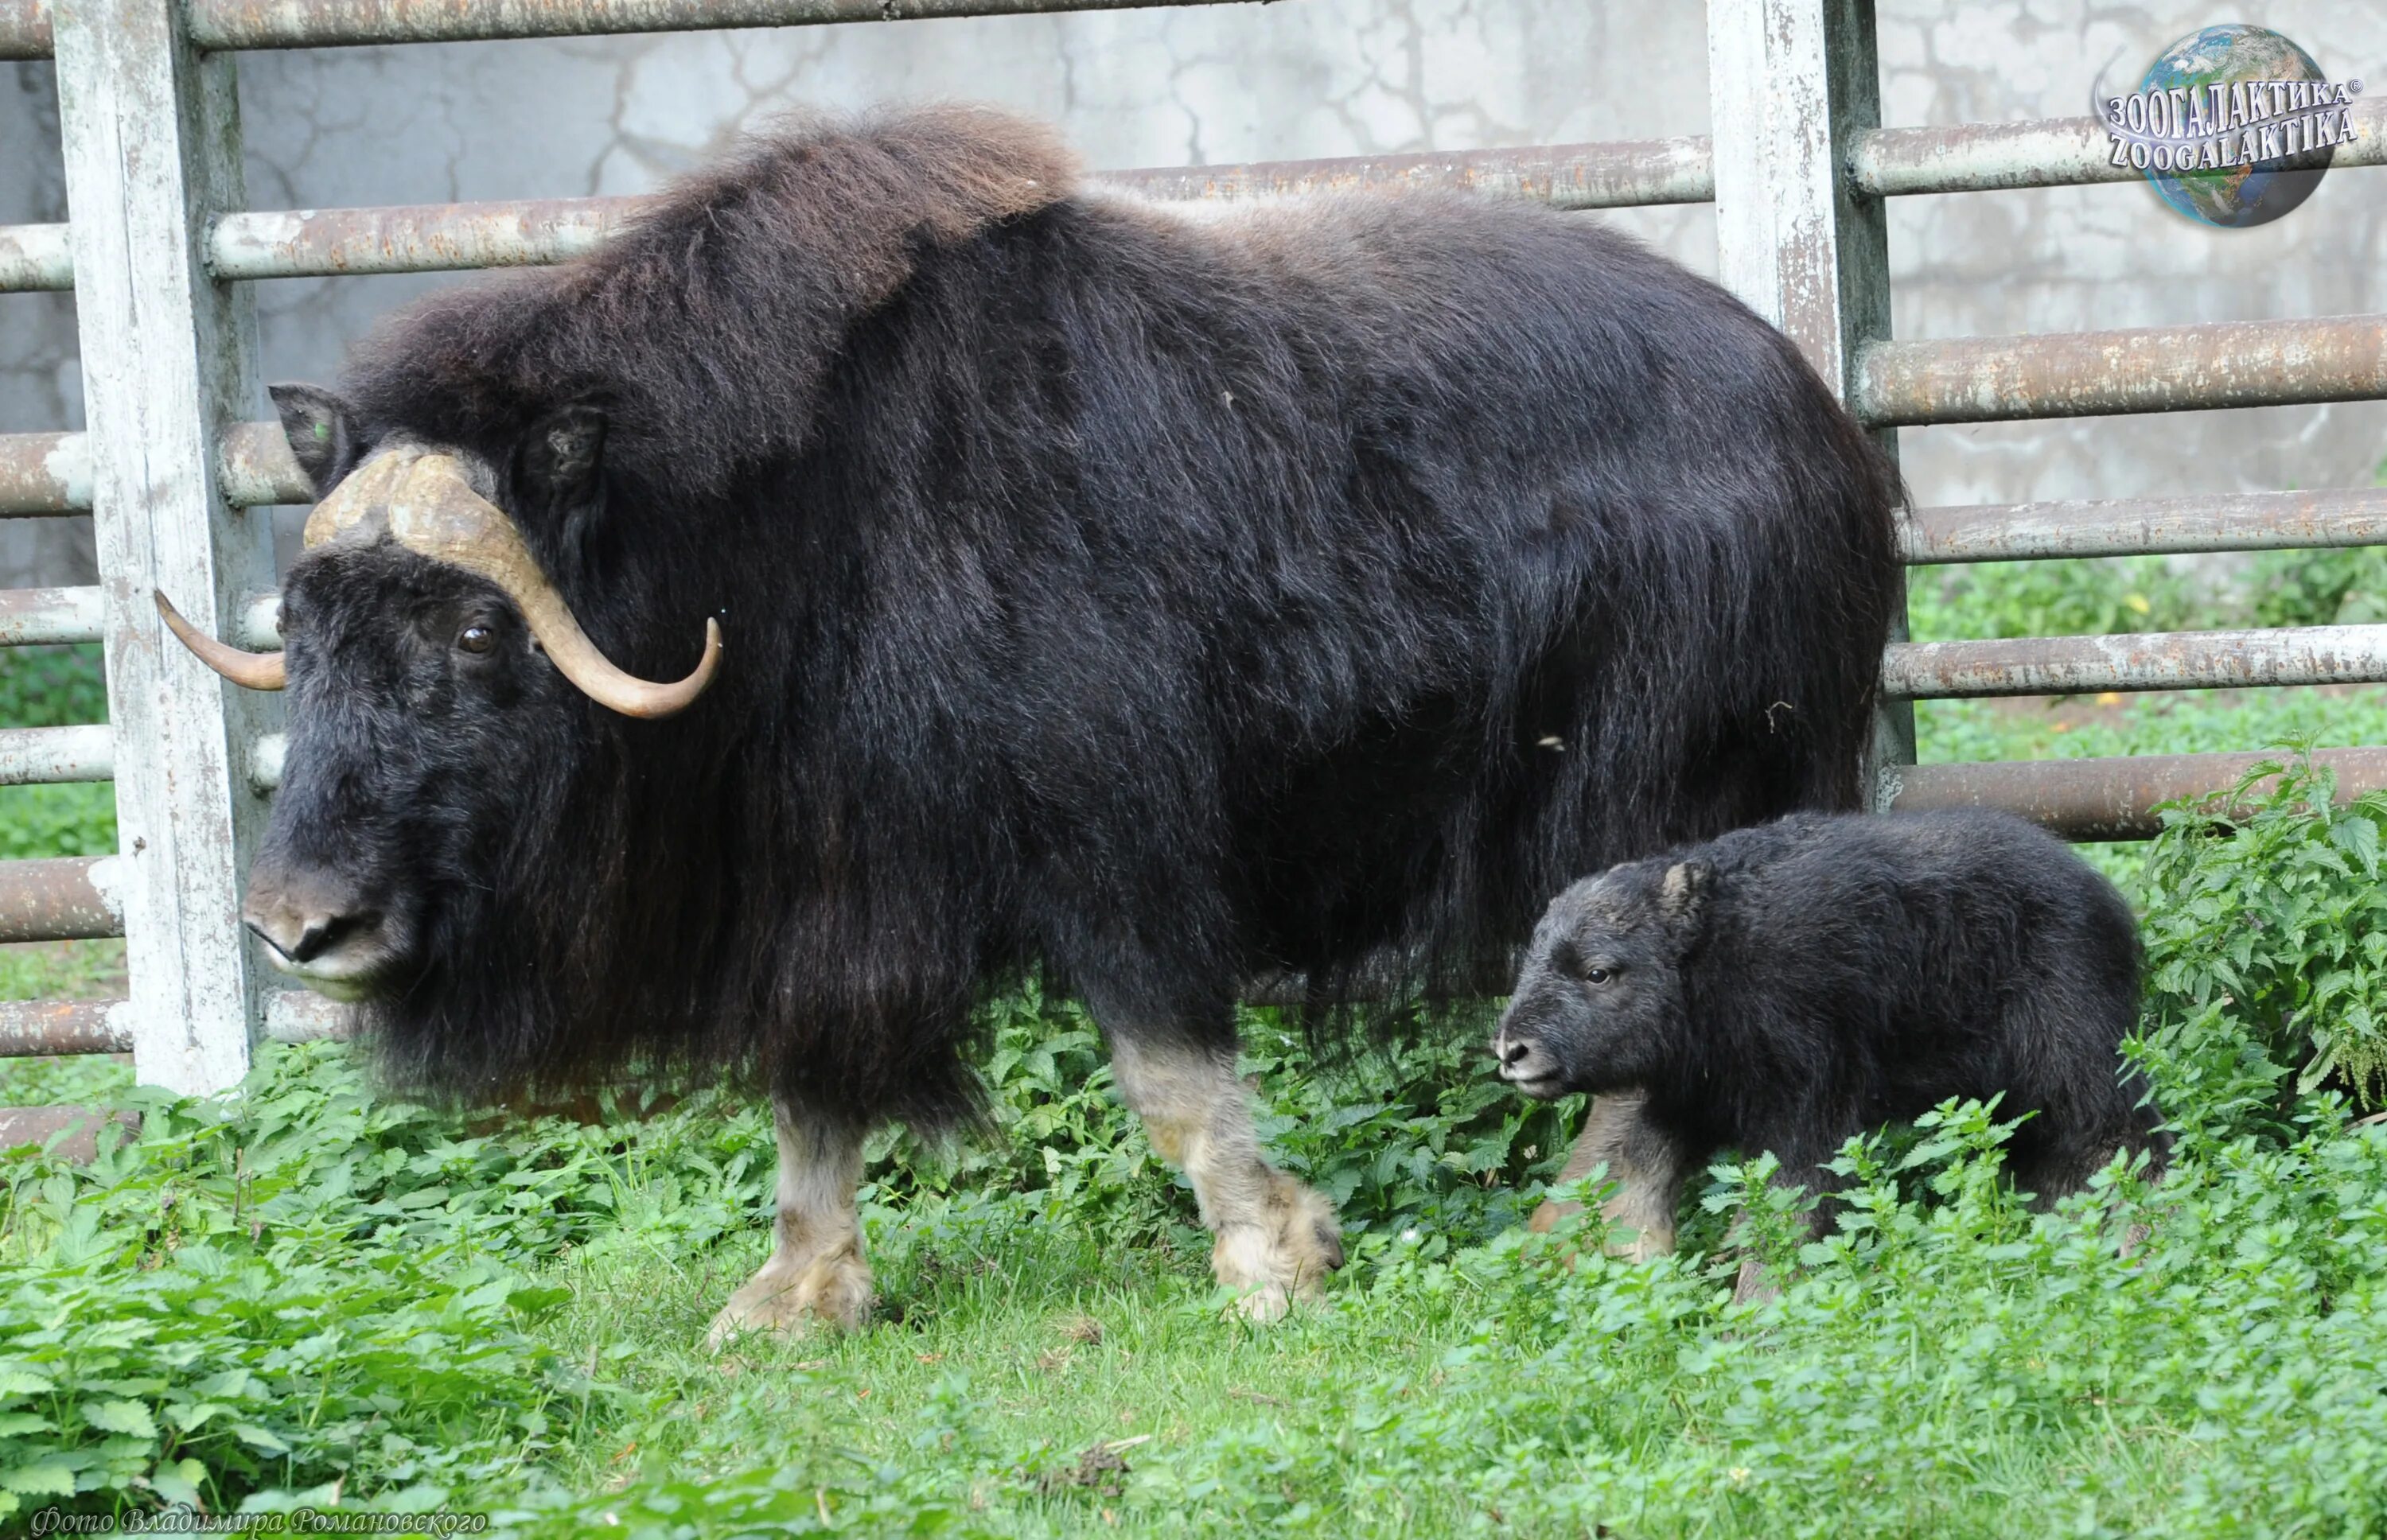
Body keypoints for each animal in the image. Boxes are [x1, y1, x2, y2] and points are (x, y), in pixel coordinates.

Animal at [154, 107, 1900, 1336]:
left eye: (472, 628)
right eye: (304, 626)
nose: (297, 924)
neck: (769, 544)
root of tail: (1814, 413)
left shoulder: (1112, 839)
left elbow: (1169, 1071)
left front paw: (1277, 1261)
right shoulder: (833, 885)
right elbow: (812, 1089)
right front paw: (792, 1299)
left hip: (1659, 792)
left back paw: (1578, 1235)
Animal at [1499, 811, 2177, 1250]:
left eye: (1598, 971)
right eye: (1530, 957)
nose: (1513, 1051)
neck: (1714, 954)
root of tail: (2105, 899)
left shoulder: (1808, 1107)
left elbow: (1788, 1212)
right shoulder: (1681, 1099)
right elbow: (1632, 1188)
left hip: (2074, 1064)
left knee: (2126, 1144)